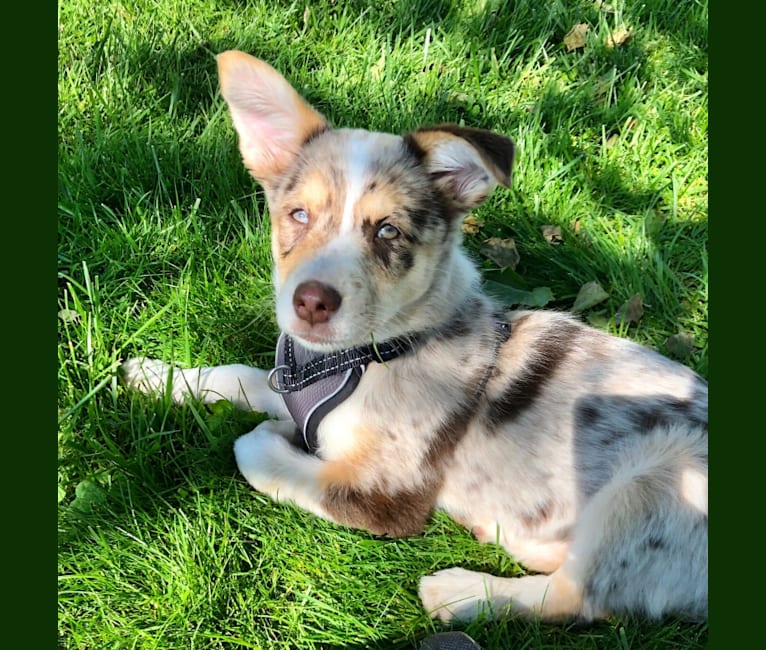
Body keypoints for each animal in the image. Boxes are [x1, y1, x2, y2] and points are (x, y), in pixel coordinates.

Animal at [123, 52, 712, 624]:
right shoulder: (289, 384)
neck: (362, 359)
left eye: (388, 231)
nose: (310, 303)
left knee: (581, 599)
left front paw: (274, 436)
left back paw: (460, 593)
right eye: (298, 215)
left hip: (657, 479)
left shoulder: (387, 490)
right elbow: (240, 376)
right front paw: (155, 375)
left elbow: (253, 449)